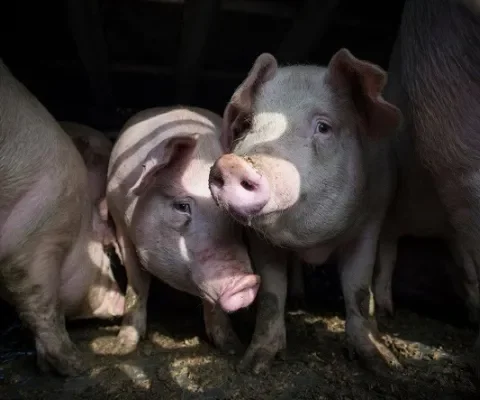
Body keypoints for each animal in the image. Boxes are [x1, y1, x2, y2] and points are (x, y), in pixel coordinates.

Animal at [107, 105, 260, 354]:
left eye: (233, 216)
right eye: (181, 206)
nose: (245, 283)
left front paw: (233, 348)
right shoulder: (119, 222)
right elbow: (136, 283)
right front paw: (123, 347)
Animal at [210, 49, 404, 372]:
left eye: (323, 127)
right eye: (248, 124)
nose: (232, 164)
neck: (312, 242)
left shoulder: (369, 223)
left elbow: (358, 290)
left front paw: (384, 364)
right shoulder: (261, 241)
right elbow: (271, 293)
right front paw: (252, 366)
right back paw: (299, 300)